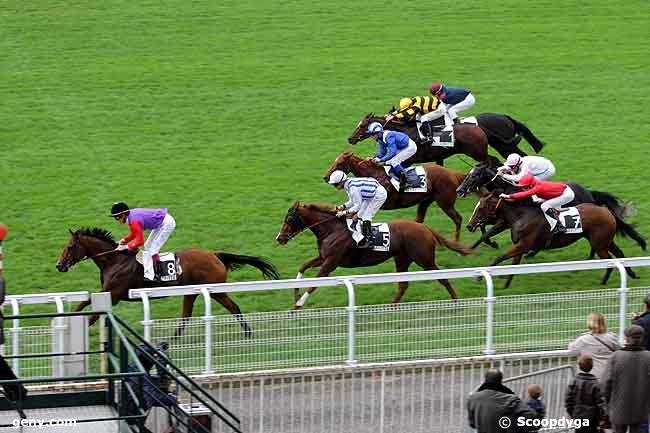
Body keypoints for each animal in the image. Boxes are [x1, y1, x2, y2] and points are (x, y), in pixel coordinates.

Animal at [55, 228, 278, 336]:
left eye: (70, 247)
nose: (59, 266)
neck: (115, 260)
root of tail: (214, 255)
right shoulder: (105, 291)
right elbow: (83, 303)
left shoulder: (116, 294)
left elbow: (92, 316)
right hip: (191, 292)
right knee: (185, 316)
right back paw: (171, 341)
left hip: (215, 290)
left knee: (233, 307)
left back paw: (248, 333)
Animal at [274, 202, 470, 308]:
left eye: (289, 219)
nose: (279, 238)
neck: (332, 230)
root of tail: (425, 228)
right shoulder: (323, 257)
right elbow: (303, 266)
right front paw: (295, 292)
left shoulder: (331, 262)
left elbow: (314, 285)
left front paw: (297, 305)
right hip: (402, 259)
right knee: (403, 284)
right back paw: (391, 308)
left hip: (424, 259)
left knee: (443, 278)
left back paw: (456, 302)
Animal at [322, 150, 466, 241]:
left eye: (340, 163)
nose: (326, 177)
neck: (374, 174)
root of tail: (453, 174)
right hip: (425, 201)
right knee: (419, 219)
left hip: (445, 203)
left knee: (458, 219)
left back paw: (457, 243)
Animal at [346, 111, 544, 165]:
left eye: (362, 126)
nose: (350, 139)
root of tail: (506, 117)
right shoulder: (437, 156)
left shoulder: (411, 158)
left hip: (488, 149)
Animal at [466, 194, 644, 288]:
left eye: (481, 208)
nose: (469, 225)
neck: (521, 216)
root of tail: (606, 211)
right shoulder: (520, 246)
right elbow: (513, 265)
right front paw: (506, 285)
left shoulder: (524, 244)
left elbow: (500, 257)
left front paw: (480, 277)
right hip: (604, 240)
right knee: (619, 253)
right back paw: (632, 274)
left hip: (599, 243)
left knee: (609, 260)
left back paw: (604, 281)